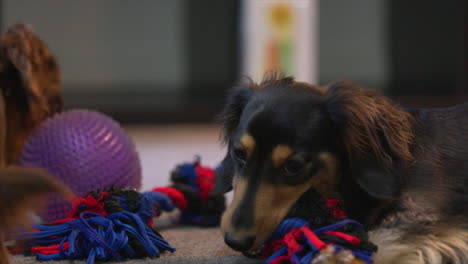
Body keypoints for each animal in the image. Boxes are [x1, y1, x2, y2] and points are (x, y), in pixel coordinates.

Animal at [216, 72, 468, 264]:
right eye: (239, 153)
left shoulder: (423, 217)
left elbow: (382, 242)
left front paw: (335, 255)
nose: (235, 240)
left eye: (294, 166)